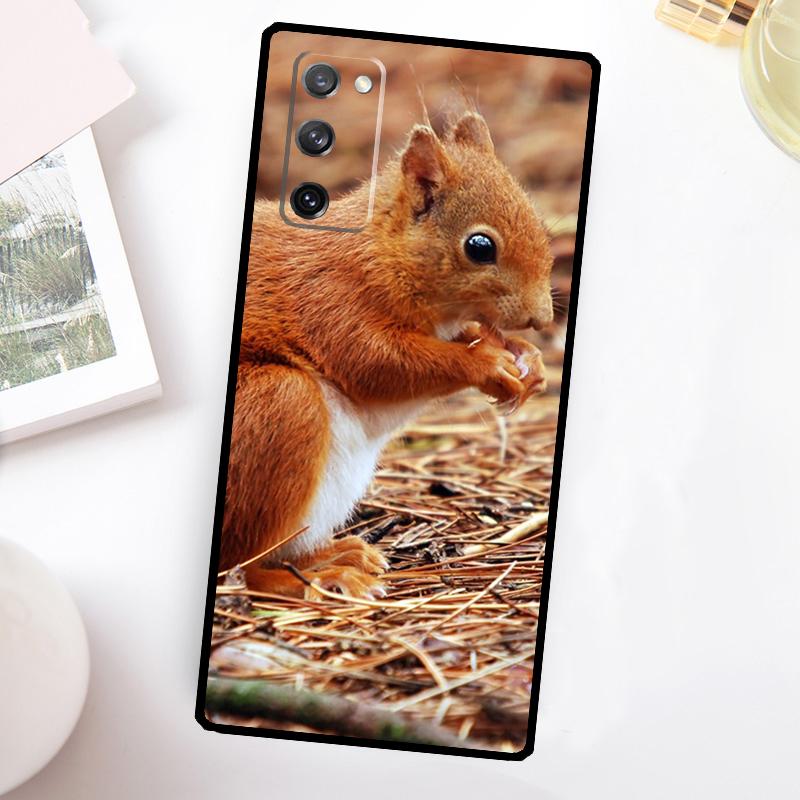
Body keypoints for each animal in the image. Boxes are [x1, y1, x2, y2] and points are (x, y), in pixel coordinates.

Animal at [219, 112, 554, 598]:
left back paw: (338, 555)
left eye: (542, 227)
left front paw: (529, 360)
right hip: (281, 405)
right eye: (480, 247)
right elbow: (379, 364)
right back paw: (321, 577)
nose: (542, 319)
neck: (382, 250)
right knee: (244, 569)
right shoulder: (332, 298)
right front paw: (488, 365)